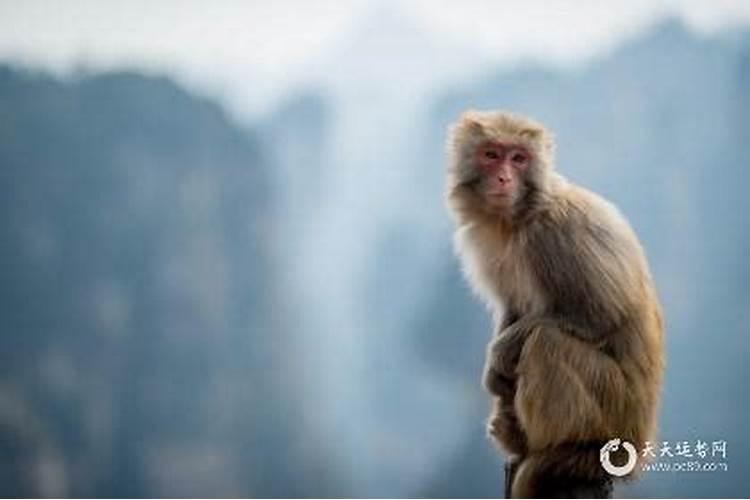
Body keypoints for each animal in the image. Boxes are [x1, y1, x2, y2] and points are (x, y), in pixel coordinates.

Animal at [446, 111, 664, 498]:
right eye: (491, 155)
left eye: (519, 158)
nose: (504, 177)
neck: (519, 217)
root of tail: (638, 444)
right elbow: (513, 307)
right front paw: (494, 374)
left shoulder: (557, 236)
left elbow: (599, 315)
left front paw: (498, 355)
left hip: (616, 406)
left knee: (547, 343)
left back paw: (565, 450)